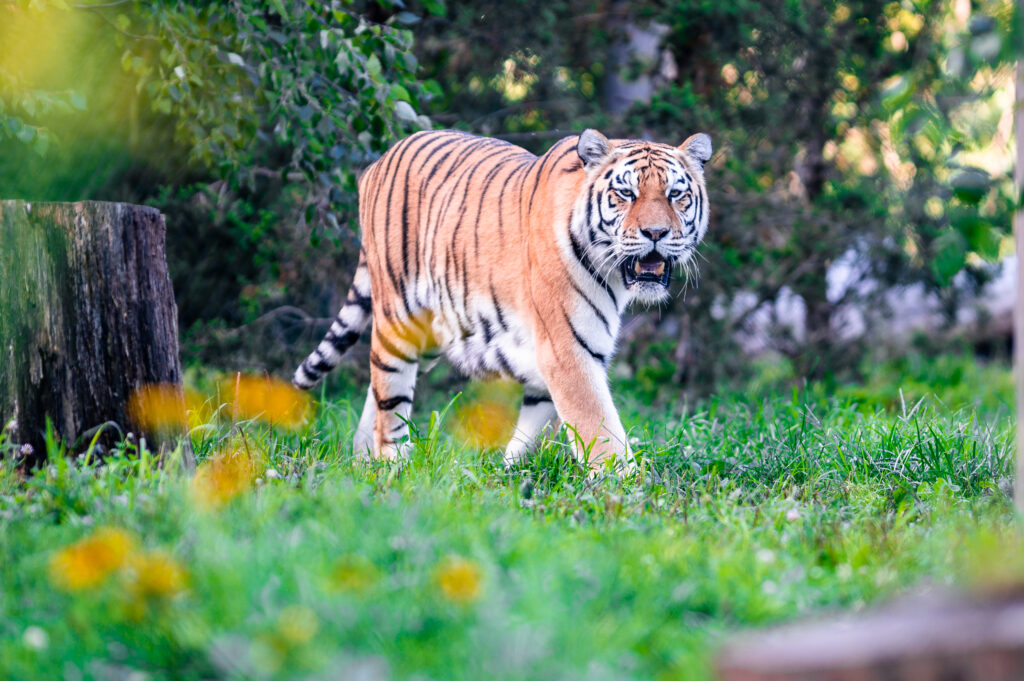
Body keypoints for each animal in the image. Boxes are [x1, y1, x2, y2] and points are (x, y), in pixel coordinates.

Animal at [292, 127, 712, 471]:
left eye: (676, 195)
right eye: (626, 193)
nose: (655, 233)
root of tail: (379, 161)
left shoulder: (557, 354)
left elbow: (535, 429)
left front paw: (509, 474)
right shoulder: (568, 349)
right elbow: (600, 428)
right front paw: (627, 489)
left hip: (432, 332)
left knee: (376, 386)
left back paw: (362, 459)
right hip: (400, 316)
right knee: (389, 394)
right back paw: (389, 463)